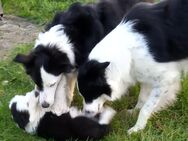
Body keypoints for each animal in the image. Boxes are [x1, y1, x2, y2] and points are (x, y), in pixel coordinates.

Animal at [77, 0, 188, 134]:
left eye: (90, 92)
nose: (85, 114)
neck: (127, 49)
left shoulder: (166, 79)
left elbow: (146, 108)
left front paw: (137, 129)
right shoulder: (145, 74)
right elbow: (142, 98)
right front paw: (134, 112)